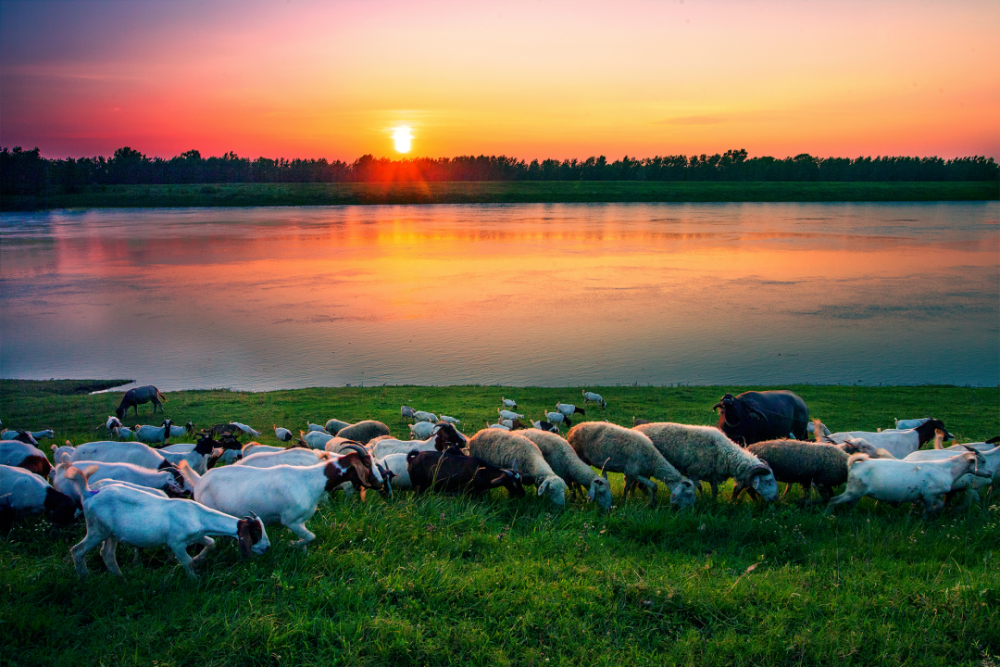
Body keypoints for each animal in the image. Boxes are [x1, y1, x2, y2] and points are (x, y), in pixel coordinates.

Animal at [568, 426, 700, 508]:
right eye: (688, 494)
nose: (691, 510)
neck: (653, 460)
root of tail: (572, 429)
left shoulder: (633, 473)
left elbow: (631, 487)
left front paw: (629, 499)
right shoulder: (632, 472)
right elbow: (651, 486)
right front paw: (649, 503)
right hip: (579, 455)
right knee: (576, 479)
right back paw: (580, 496)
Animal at [632, 422, 780, 500]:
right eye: (767, 481)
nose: (774, 498)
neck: (724, 452)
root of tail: (635, 428)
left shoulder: (713, 475)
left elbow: (714, 490)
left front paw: (714, 502)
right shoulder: (693, 472)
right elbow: (699, 487)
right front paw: (702, 500)